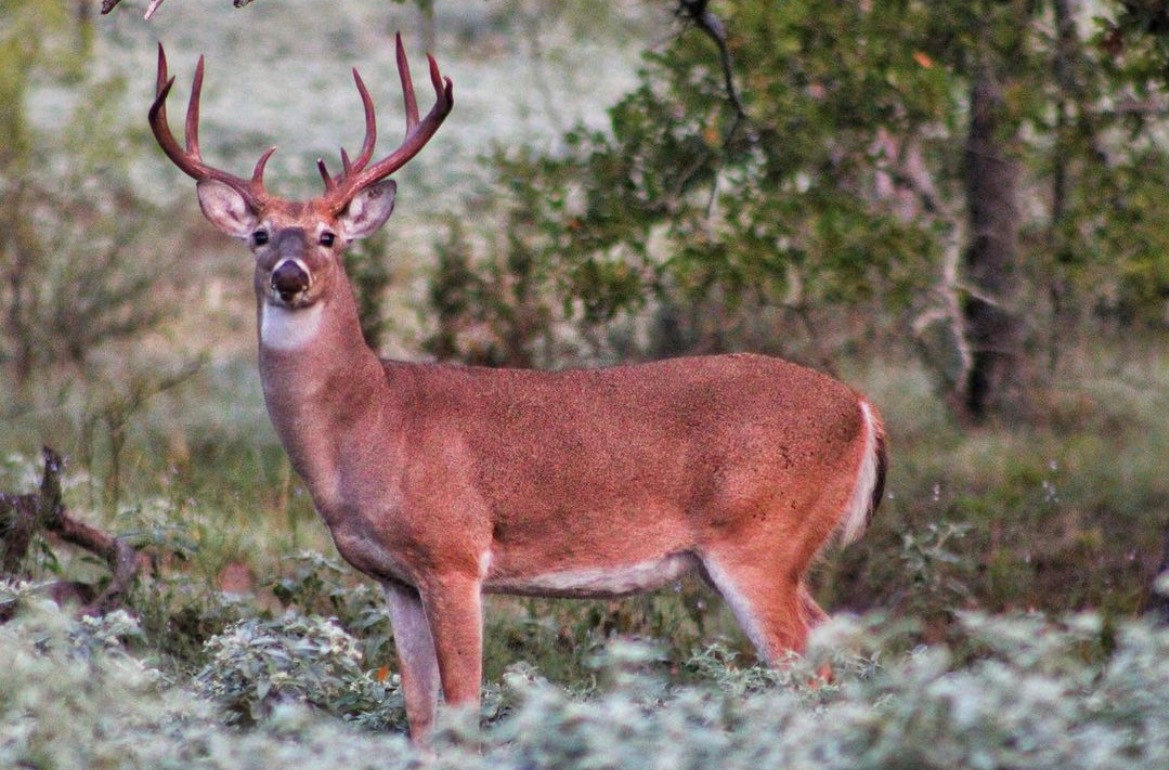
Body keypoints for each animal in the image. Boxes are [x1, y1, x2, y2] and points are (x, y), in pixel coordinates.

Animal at [150, 34, 888, 743]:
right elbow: (419, 716)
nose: (290, 276)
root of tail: (861, 408)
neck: (369, 419)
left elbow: (462, 710)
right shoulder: (395, 578)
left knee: (811, 672)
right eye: (259, 235)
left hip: (760, 540)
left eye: (329, 236)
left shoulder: (453, 554)